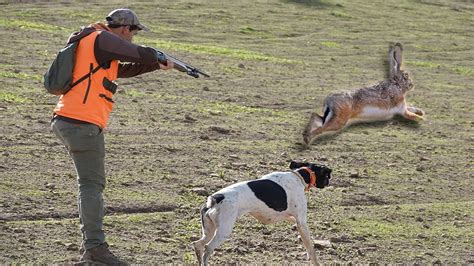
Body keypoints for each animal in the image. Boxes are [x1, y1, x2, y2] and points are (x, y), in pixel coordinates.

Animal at [191, 161, 332, 264]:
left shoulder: (291, 217)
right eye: (327, 176)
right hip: (223, 231)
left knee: (198, 245)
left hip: (209, 231)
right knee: (208, 248)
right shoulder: (301, 222)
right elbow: (311, 249)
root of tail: (215, 198)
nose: (329, 182)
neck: (299, 176)